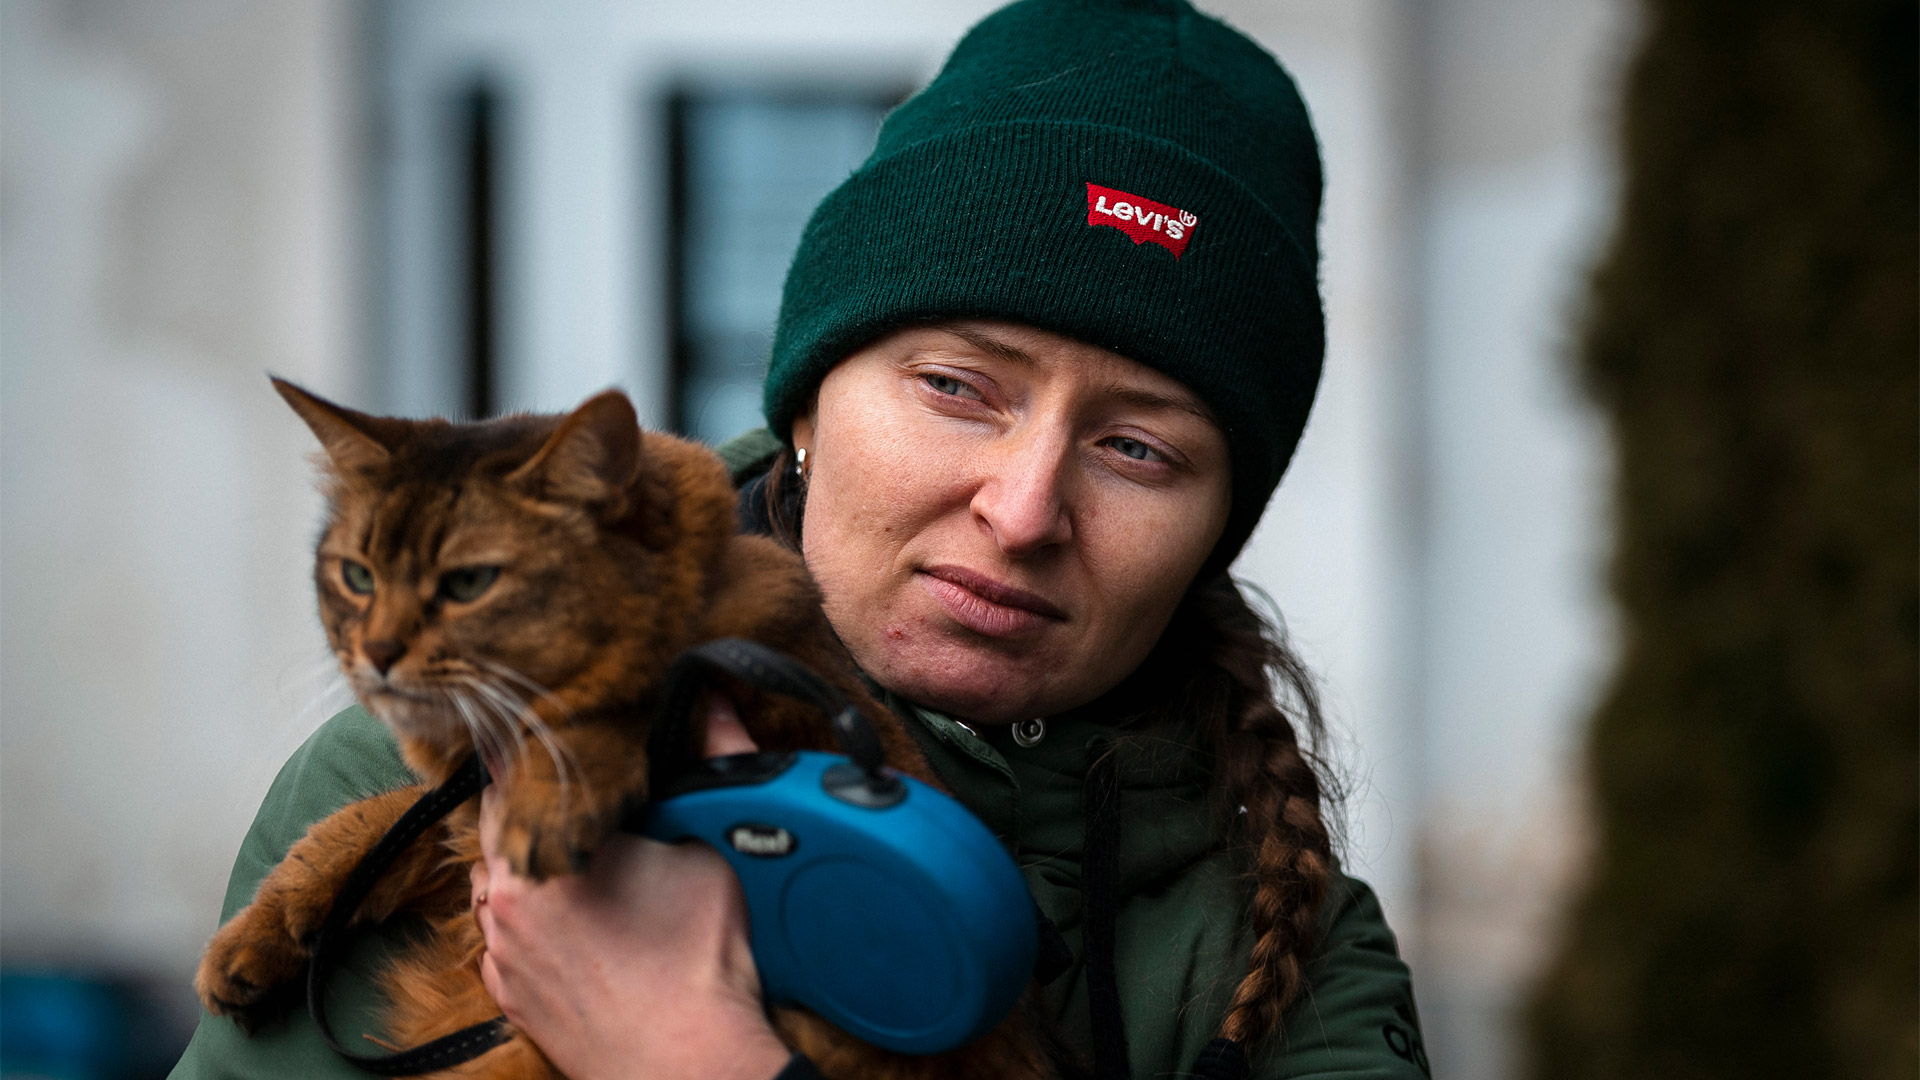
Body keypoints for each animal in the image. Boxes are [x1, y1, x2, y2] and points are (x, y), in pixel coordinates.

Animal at [194, 382, 1052, 1076]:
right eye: (357, 577)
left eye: (468, 583)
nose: (374, 654)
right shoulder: (463, 817)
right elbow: (376, 823)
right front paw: (263, 931)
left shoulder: (787, 708)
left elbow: (610, 709)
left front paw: (558, 789)